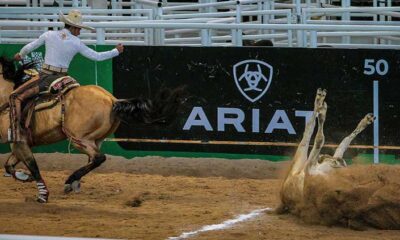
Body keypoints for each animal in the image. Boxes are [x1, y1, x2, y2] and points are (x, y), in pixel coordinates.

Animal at [276, 88, 400, 231]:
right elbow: (325, 140)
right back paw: (320, 104)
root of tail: (283, 197)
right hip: (299, 162)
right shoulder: (312, 168)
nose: (338, 161)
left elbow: (342, 142)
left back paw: (322, 104)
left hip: (301, 163)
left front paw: (365, 121)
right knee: (309, 134)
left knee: (310, 133)